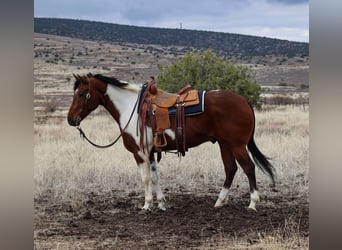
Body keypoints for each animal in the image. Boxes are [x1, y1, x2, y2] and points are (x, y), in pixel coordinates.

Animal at [67, 73, 276, 211]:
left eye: (81, 94)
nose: (70, 120)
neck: (131, 108)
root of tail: (244, 100)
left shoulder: (139, 153)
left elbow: (145, 178)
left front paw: (147, 205)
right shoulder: (151, 152)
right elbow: (155, 176)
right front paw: (160, 203)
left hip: (237, 145)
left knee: (248, 168)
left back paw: (252, 203)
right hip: (224, 144)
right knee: (230, 169)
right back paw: (219, 202)